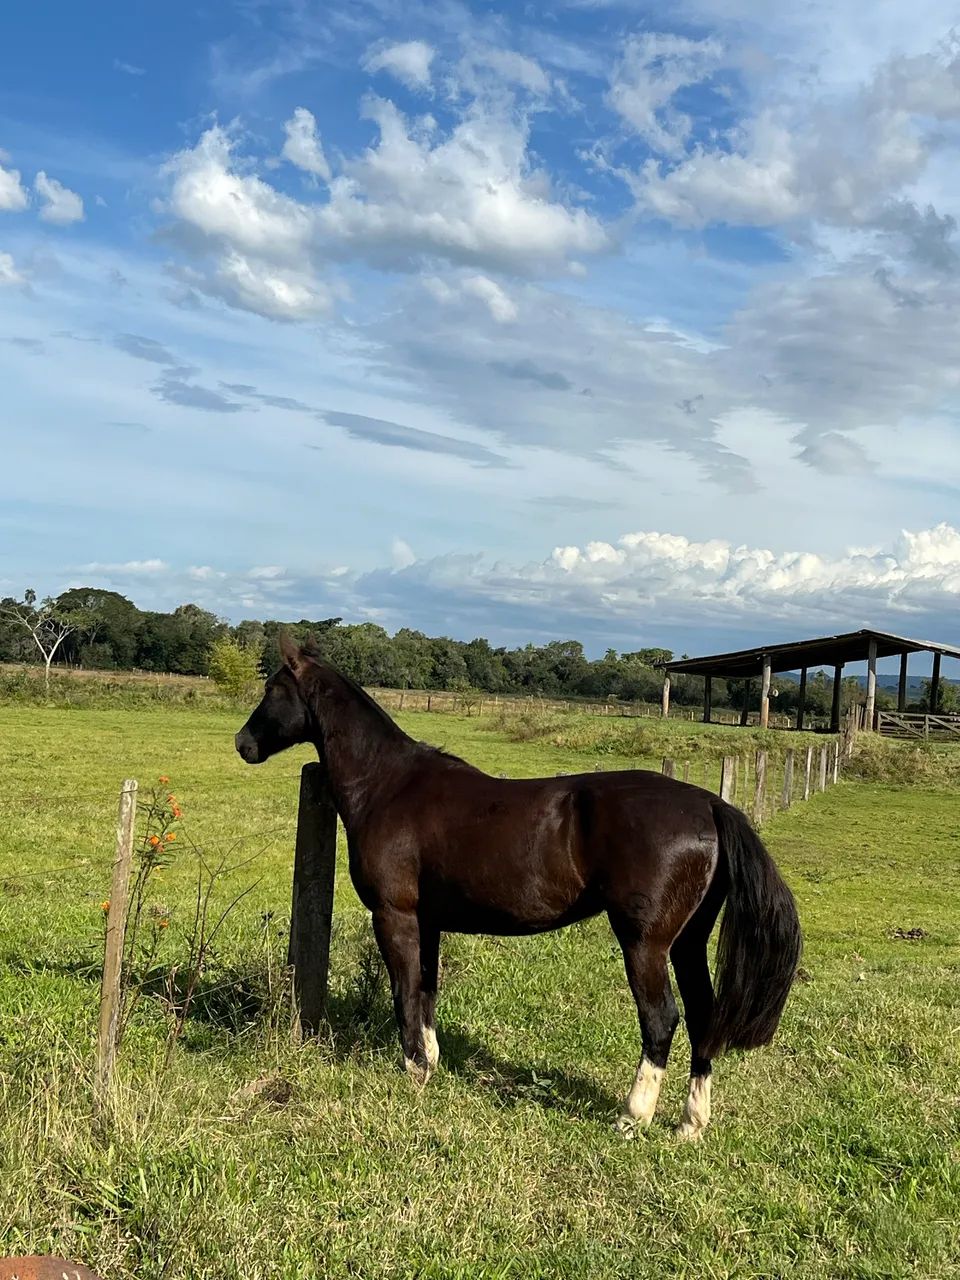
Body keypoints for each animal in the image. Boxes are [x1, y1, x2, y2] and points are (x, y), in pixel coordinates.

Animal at [235, 636, 802, 1140]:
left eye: (272, 689)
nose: (243, 744)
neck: (388, 785)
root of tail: (709, 804)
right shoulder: (428, 921)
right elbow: (427, 988)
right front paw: (432, 1061)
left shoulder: (394, 915)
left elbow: (404, 990)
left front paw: (413, 1070)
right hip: (687, 942)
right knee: (705, 1016)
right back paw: (690, 1123)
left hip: (646, 944)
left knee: (661, 1019)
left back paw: (632, 1115)